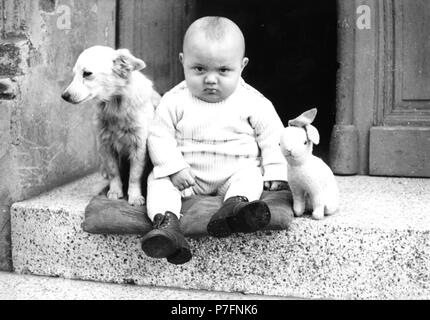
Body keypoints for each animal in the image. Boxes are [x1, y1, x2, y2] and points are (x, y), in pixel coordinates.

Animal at [61, 44, 160, 205]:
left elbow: (134, 176)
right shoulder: (105, 144)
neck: (115, 105)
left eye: (87, 73)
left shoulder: (139, 146)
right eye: (74, 74)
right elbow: (113, 171)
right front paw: (115, 191)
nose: (64, 96)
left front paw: (134, 196)